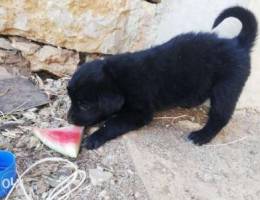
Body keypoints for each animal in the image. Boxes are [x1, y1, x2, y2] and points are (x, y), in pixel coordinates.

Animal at [66, 6, 256, 149]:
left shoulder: (139, 112)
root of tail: (237, 44)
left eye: (84, 105)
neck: (118, 79)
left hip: (227, 87)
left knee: (221, 115)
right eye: (71, 100)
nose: (68, 119)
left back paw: (202, 135)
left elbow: (112, 124)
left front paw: (95, 138)